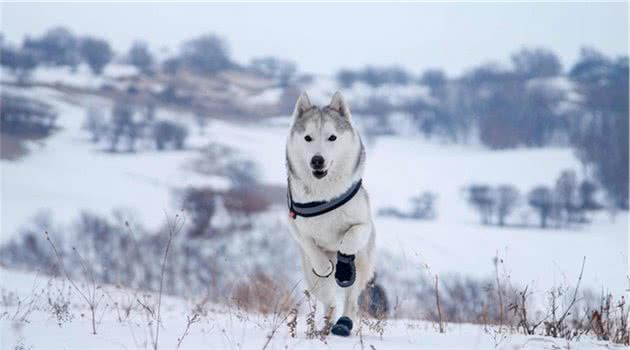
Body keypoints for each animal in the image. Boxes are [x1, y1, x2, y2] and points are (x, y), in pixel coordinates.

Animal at [288, 91, 378, 336]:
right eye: (307, 138)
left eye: (332, 137)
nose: (317, 160)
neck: (324, 194)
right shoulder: (295, 224)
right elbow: (310, 245)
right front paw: (325, 265)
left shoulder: (363, 224)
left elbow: (349, 240)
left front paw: (343, 266)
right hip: (313, 280)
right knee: (329, 301)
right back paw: (324, 326)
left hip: (363, 263)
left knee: (350, 300)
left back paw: (343, 324)